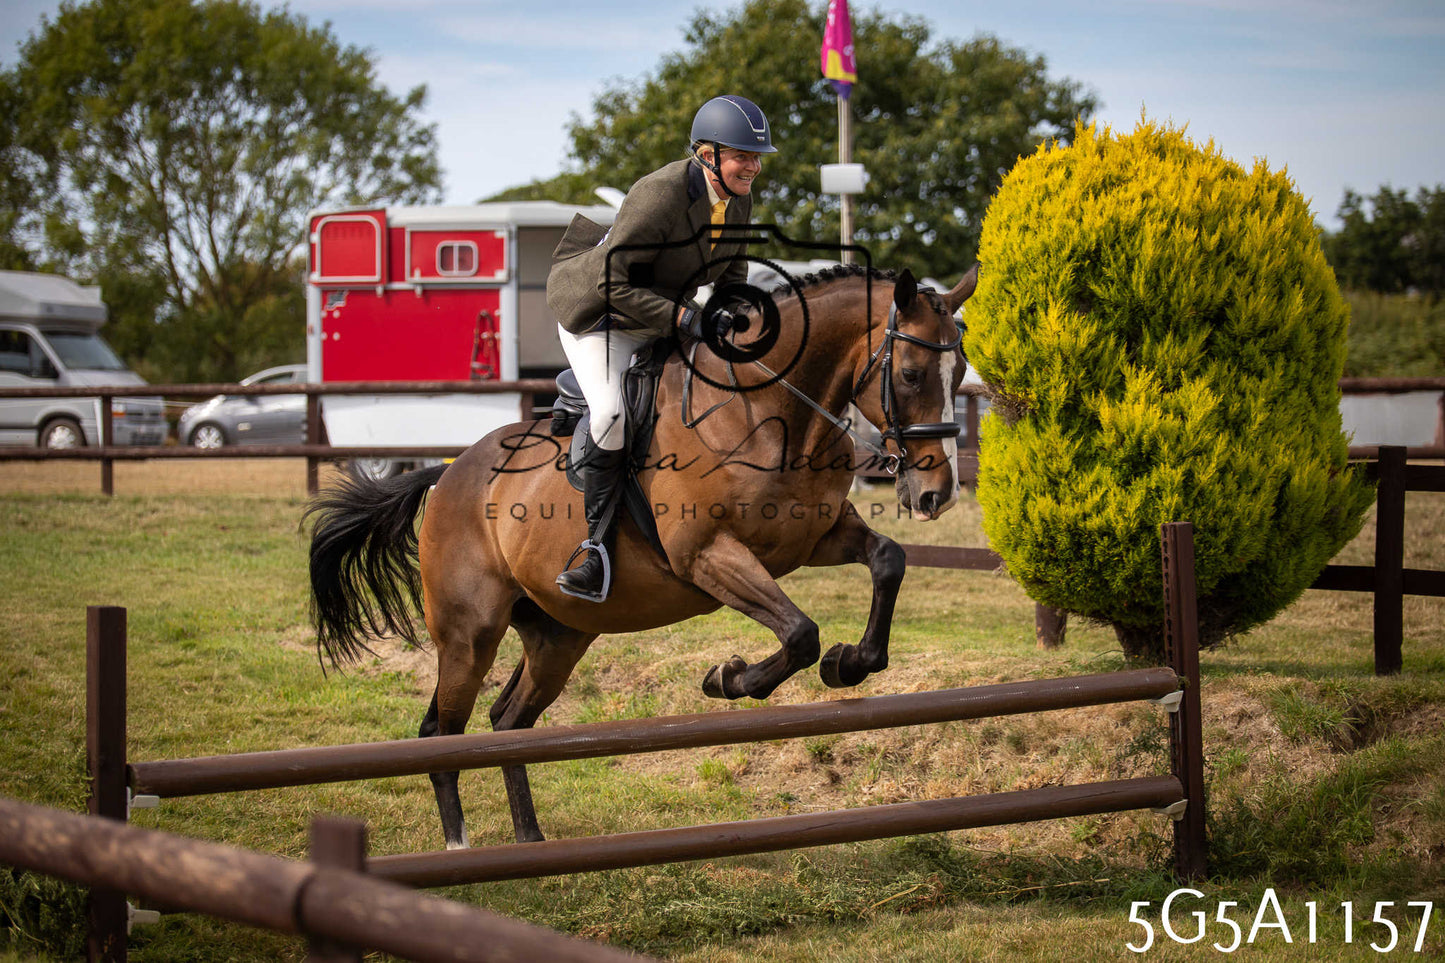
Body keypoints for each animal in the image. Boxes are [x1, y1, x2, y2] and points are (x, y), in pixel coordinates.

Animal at [307, 263, 978, 849]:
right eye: (912, 374)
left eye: (961, 371)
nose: (935, 493)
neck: (773, 413)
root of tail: (446, 476)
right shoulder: (707, 557)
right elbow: (798, 633)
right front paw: (729, 678)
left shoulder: (818, 538)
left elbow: (888, 560)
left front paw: (852, 664)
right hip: (469, 635)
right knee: (442, 734)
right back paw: (459, 847)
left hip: (558, 636)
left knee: (507, 722)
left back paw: (528, 840)